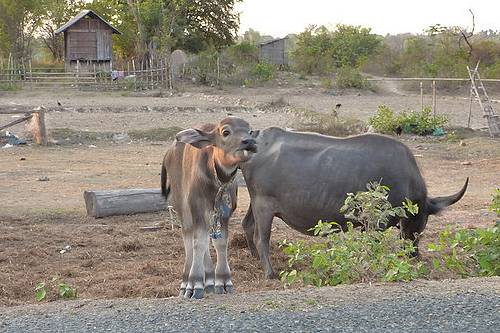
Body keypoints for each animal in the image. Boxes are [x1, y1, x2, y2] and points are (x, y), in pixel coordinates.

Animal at [160, 116, 256, 298]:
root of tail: (169, 152)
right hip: (182, 206)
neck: (216, 179)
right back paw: (185, 281)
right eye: (225, 132)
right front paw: (194, 284)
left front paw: (223, 281)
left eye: (250, 131)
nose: (250, 142)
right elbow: (198, 242)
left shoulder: (225, 212)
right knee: (188, 238)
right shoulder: (196, 207)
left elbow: (220, 242)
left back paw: (210, 280)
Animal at [241, 127, 468, 278]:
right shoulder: (376, 223)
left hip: (256, 202)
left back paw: (254, 259)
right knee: (261, 238)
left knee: (247, 225)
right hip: (263, 206)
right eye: (420, 223)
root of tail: (256, 139)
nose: (414, 255)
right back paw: (270, 273)